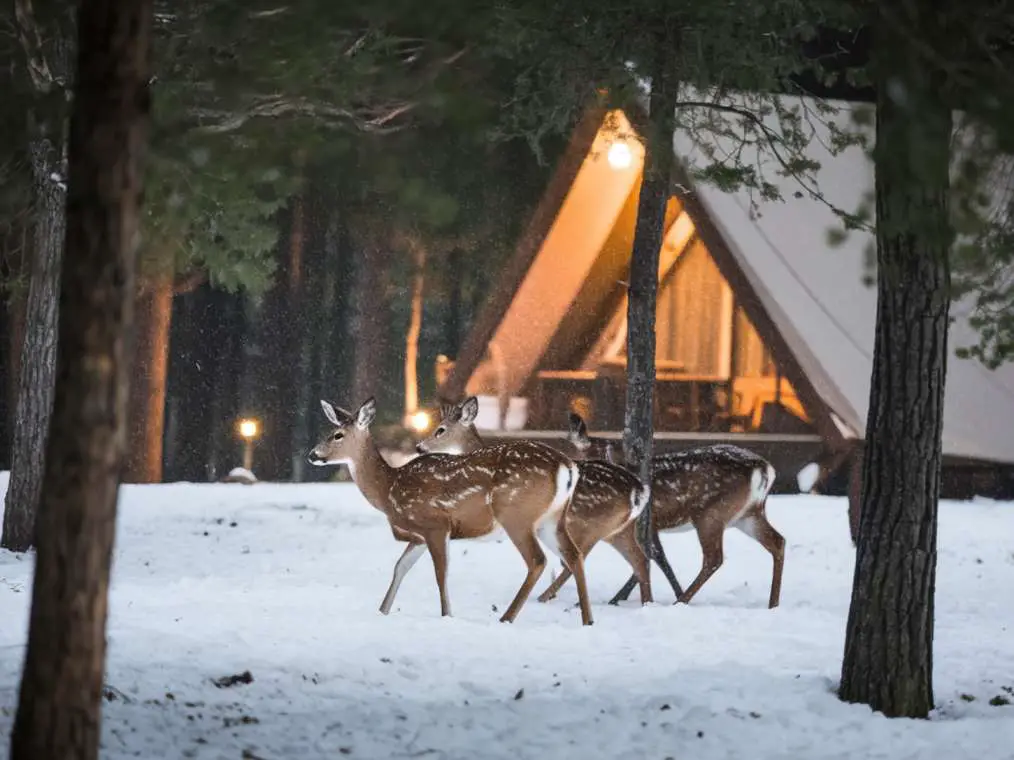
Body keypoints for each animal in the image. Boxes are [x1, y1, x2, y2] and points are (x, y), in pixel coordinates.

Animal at [306, 399, 592, 624]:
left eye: (337, 435)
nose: (312, 454)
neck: (390, 488)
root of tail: (567, 466)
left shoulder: (435, 524)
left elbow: (440, 573)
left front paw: (447, 615)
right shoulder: (419, 535)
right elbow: (400, 567)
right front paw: (382, 611)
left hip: (516, 513)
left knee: (538, 560)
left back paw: (506, 617)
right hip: (551, 520)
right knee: (574, 555)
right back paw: (587, 620)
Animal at [415, 399, 653, 608]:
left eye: (440, 430)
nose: (419, 447)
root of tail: (639, 490)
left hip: (588, 527)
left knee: (576, 560)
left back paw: (545, 597)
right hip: (618, 530)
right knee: (640, 560)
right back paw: (644, 603)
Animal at [563, 413, 782, 612]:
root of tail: (764, 467)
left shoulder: (647, 522)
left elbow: (653, 556)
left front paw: (618, 599)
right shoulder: (651, 525)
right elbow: (657, 556)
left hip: (711, 514)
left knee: (713, 559)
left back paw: (681, 601)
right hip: (748, 514)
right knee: (778, 541)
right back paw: (773, 604)